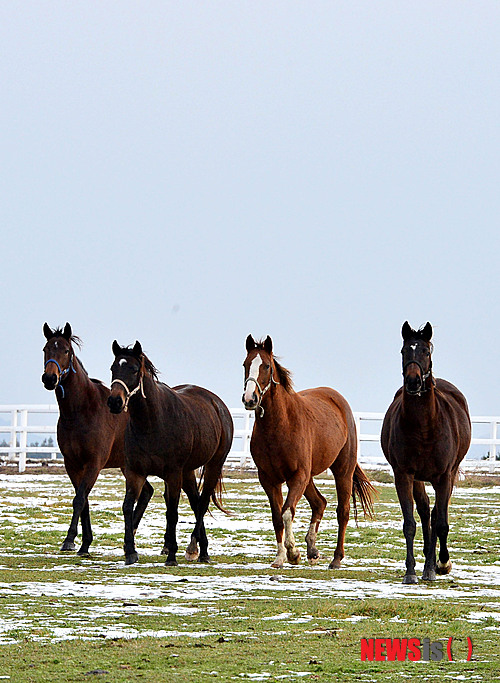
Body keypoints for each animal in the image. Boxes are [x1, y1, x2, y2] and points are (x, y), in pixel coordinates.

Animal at [41, 324, 152, 552]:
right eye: (45, 349)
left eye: (66, 350)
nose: (49, 379)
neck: (81, 411)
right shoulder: (72, 464)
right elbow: (83, 500)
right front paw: (85, 543)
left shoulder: (94, 463)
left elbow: (79, 499)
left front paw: (70, 539)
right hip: (128, 467)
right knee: (147, 492)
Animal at [108, 340, 233, 568]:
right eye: (113, 368)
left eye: (134, 369)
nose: (114, 402)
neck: (151, 423)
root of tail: (217, 404)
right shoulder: (135, 473)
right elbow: (128, 506)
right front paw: (130, 551)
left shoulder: (173, 474)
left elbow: (172, 512)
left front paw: (172, 555)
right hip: (188, 471)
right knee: (195, 502)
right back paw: (202, 550)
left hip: (213, 465)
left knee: (202, 503)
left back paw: (193, 549)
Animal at [242, 334, 376, 568]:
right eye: (245, 364)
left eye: (266, 366)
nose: (250, 399)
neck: (280, 425)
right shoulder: (269, 479)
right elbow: (277, 517)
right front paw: (280, 557)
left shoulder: (298, 476)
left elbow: (287, 512)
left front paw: (292, 552)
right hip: (309, 478)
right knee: (319, 503)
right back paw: (312, 550)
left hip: (342, 471)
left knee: (342, 511)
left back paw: (336, 558)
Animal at [380, 324, 470, 584]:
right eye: (403, 351)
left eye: (426, 351)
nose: (413, 382)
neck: (424, 426)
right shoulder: (404, 474)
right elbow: (410, 522)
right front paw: (410, 571)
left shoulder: (444, 476)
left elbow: (441, 523)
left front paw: (438, 565)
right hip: (419, 478)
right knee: (425, 509)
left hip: (448, 475)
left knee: (438, 512)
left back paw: (436, 563)